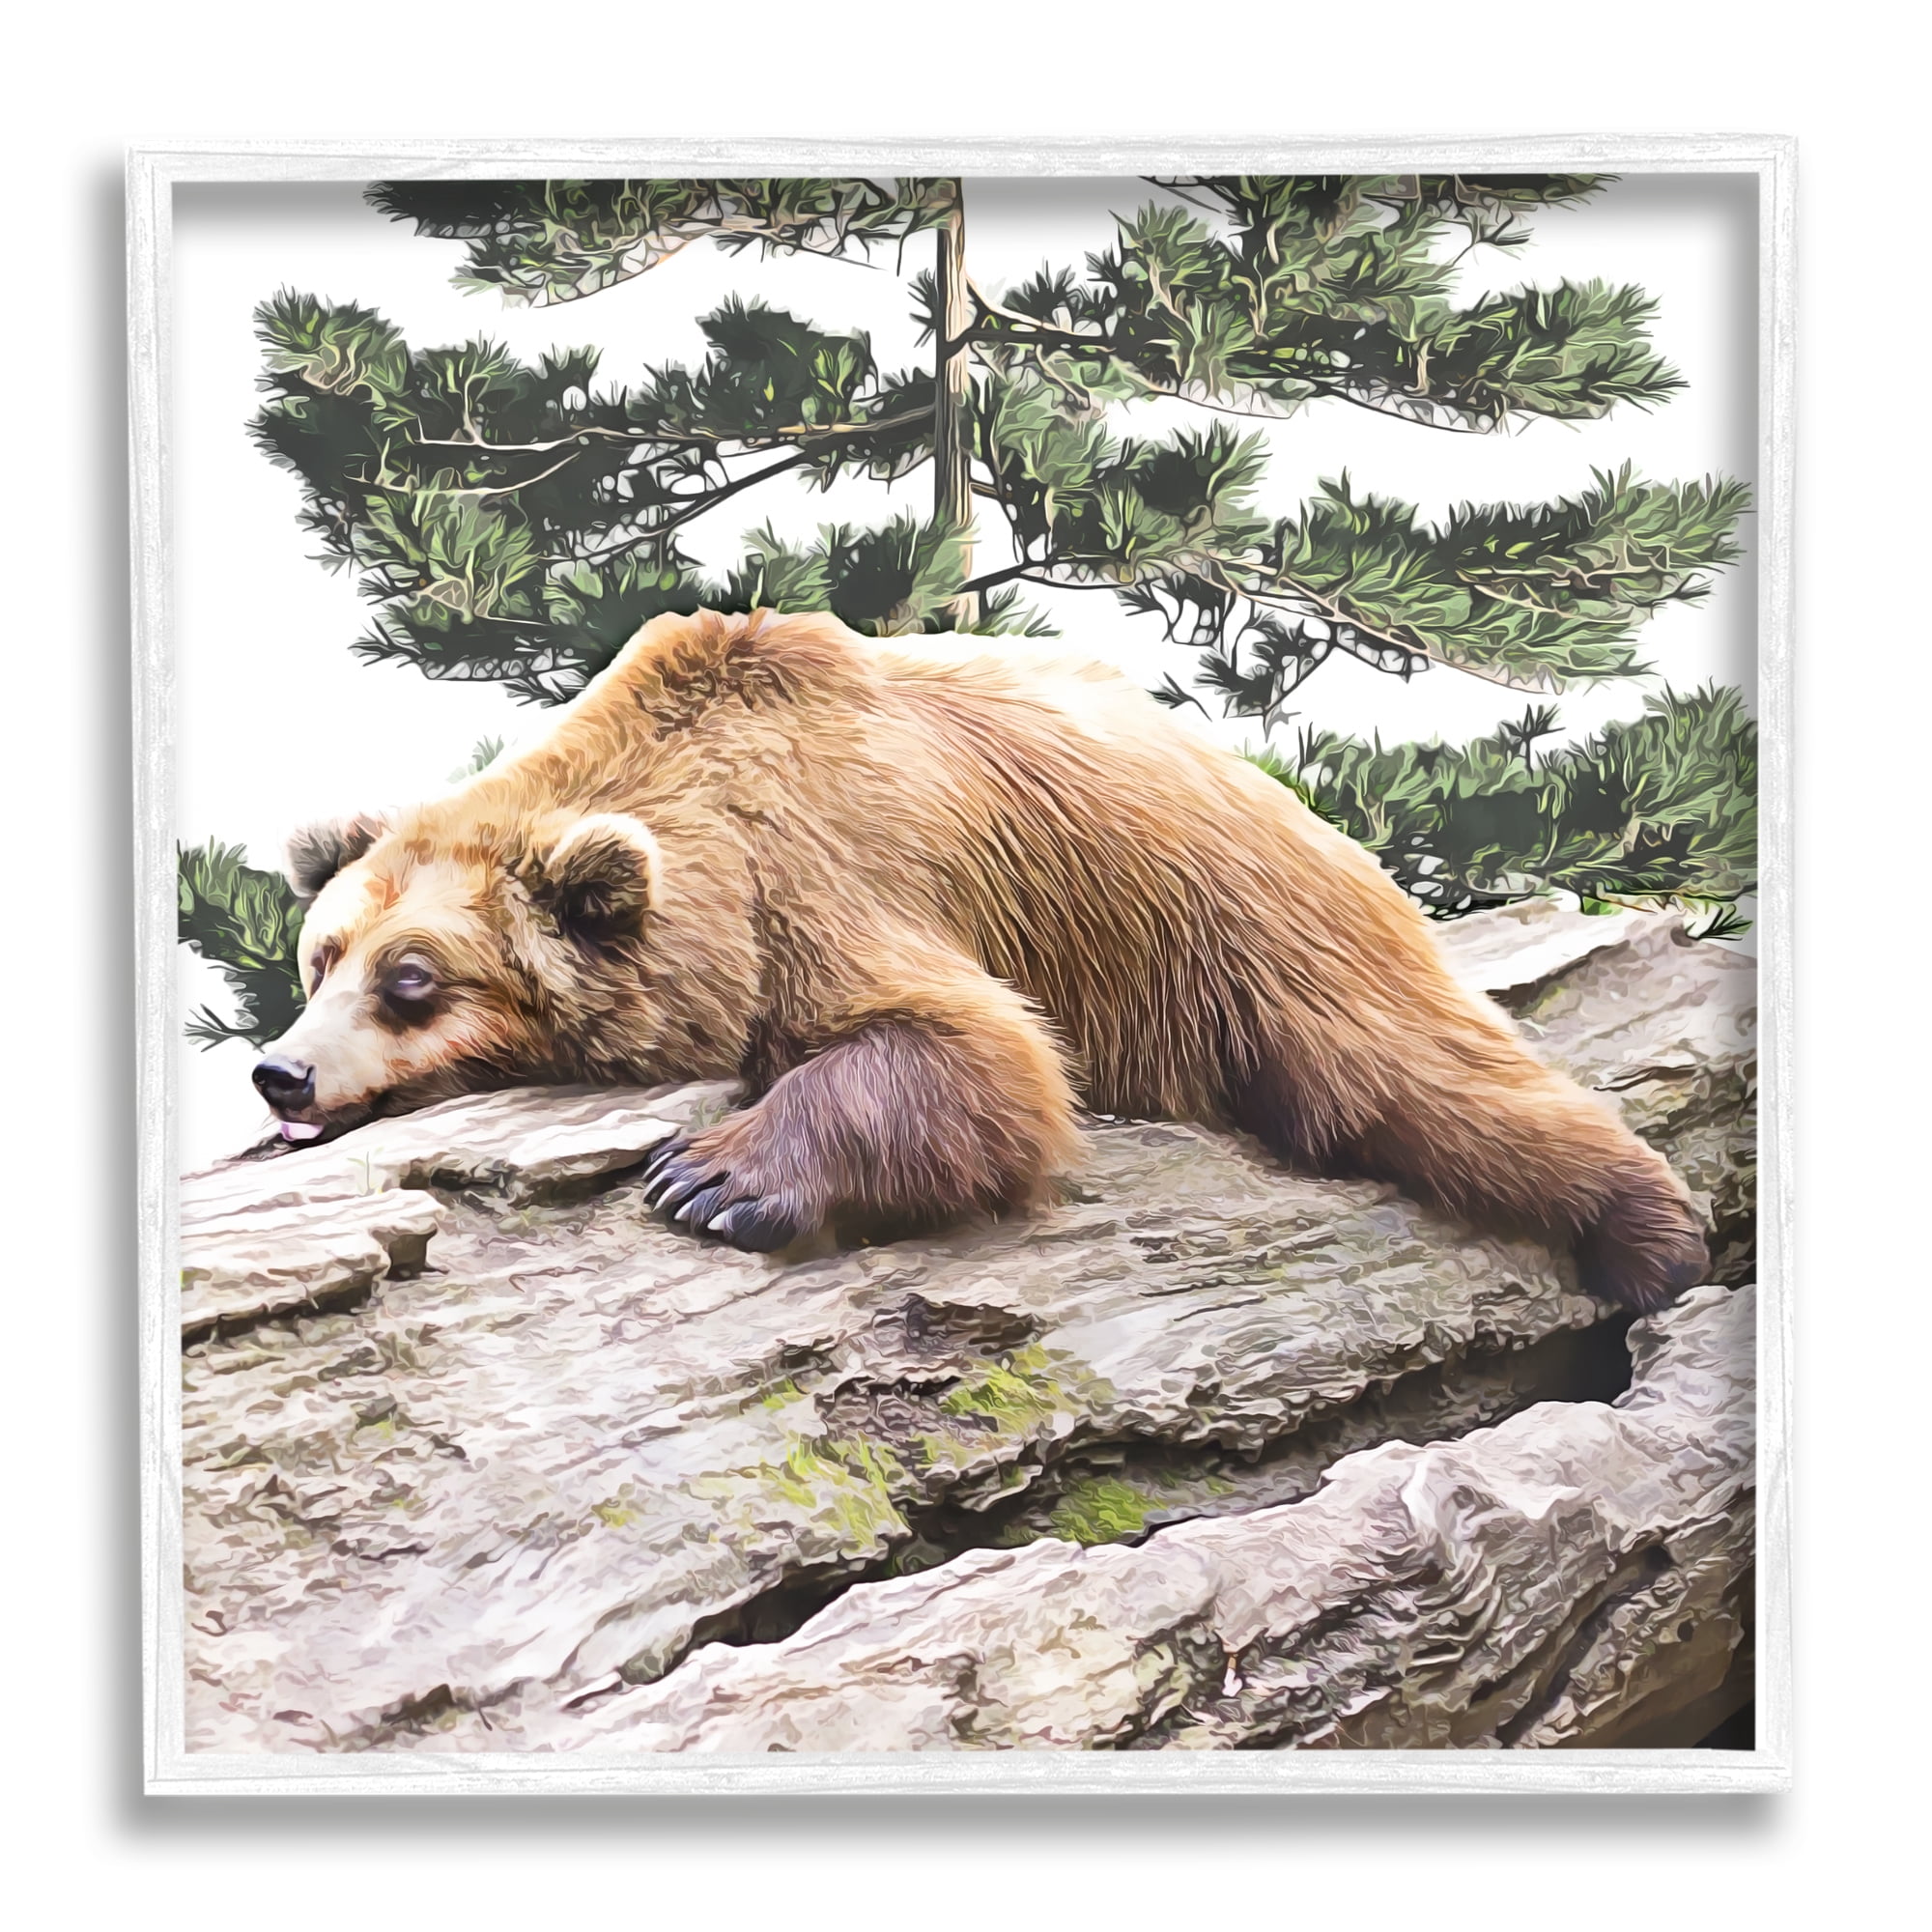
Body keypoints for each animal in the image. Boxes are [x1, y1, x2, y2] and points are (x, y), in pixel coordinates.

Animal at [253, 607, 1708, 1311]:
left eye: (414, 978)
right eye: (322, 955)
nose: (281, 1073)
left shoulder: (835, 865)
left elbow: (974, 1051)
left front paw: (711, 1179)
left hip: (1240, 918)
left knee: (1412, 1076)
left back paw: (1653, 1232)